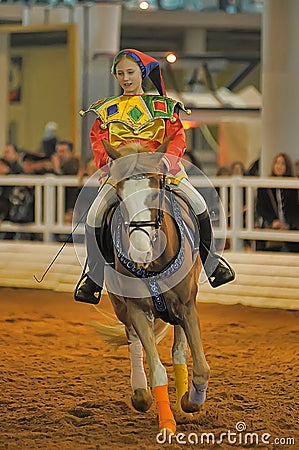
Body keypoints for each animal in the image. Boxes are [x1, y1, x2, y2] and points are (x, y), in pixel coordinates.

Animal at [97, 141, 210, 436]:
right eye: (120, 197)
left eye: (153, 196)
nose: (138, 252)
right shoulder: (137, 309)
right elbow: (157, 369)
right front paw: (167, 422)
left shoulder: (187, 306)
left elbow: (201, 368)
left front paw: (190, 402)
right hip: (122, 307)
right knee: (133, 340)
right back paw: (140, 393)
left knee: (179, 350)